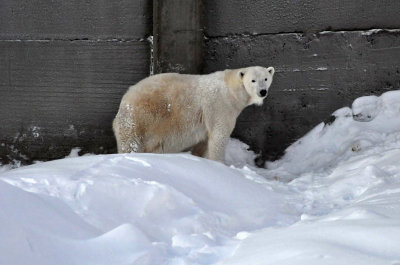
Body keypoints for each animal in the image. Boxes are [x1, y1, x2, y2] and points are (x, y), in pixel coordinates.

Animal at [113, 65, 276, 161]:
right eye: (253, 80)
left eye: (266, 78)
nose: (262, 91)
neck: (231, 90)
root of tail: (125, 99)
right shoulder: (220, 106)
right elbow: (219, 136)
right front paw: (220, 164)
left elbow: (203, 141)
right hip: (140, 118)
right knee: (131, 142)